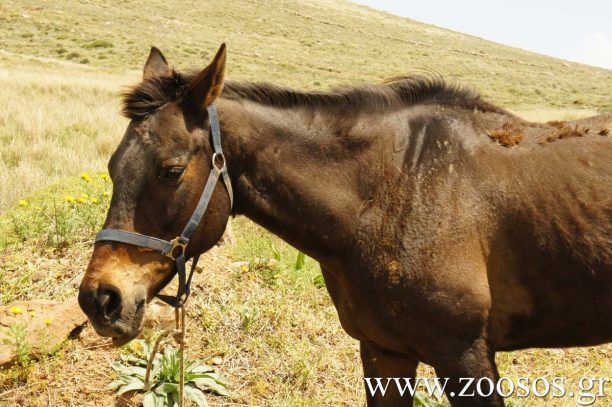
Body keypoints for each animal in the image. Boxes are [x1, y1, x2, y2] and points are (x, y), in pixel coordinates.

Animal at [77, 43, 612, 404]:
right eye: (113, 168)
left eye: (170, 171)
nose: (100, 299)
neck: (397, 187)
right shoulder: (383, 353)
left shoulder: (466, 359)